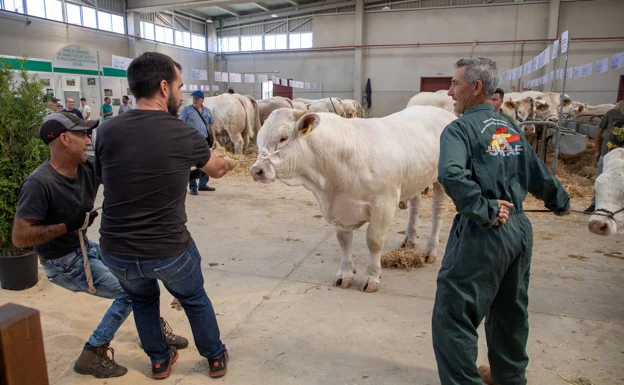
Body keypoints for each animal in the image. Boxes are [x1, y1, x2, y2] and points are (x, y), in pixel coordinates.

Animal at [249, 105, 454, 292]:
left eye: (282, 138)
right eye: (259, 140)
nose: (256, 170)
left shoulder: (384, 204)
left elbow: (374, 241)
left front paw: (372, 277)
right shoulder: (340, 208)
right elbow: (344, 240)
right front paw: (345, 274)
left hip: (441, 183)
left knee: (438, 214)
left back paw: (430, 251)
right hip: (415, 180)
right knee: (415, 205)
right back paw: (409, 241)